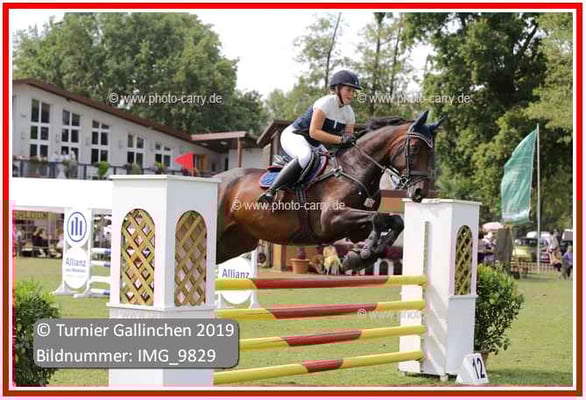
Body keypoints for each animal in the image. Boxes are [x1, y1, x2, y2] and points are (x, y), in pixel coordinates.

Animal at [214, 110, 443, 268]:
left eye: (432, 152)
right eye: (414, 148)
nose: (420, 192)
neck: (355, 167)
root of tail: (216, 179)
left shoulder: (355, 230)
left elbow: (394, 221)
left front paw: (359, 256)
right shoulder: (331, 219)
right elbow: (378, 218)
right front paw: (364, 252)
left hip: (236, 242)